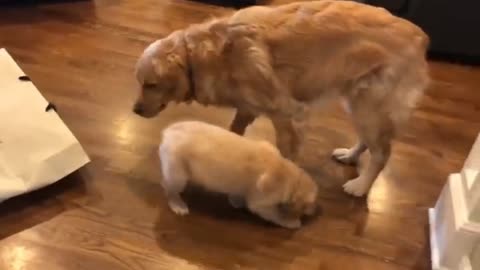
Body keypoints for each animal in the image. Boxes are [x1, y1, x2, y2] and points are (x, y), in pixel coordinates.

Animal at [133, 1, 430, 197]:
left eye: (151, 84)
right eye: (139, 83)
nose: (135, 110)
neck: (210, 55)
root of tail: (420, 36)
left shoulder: (290, 114)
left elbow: (288, 156)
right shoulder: (247, 107)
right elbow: (235, 131)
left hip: (370, 106)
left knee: (382, 153)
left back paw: (360, 186)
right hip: (358, 102)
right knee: (369, 142)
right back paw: (349, 155)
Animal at [159, 121, 320, 229]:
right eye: (309, 204)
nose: (315, 211)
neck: (292, 178)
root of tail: (167, 133)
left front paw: (236, 200)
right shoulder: (261, 204)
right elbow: (275, 214)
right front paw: (291, 222)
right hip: (178, 174)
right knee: (169, 189)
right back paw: (178, 205)